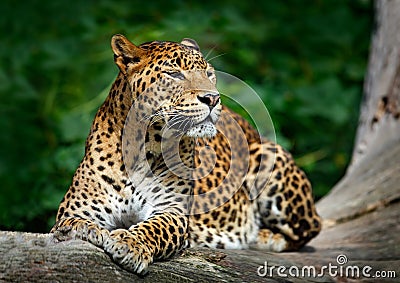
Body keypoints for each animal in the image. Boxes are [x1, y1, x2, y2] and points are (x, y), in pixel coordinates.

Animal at [50, 33, 322, 276]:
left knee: (310, 228)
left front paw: (129, 244)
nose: (212, 98)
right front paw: (89, 231)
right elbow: (72, 224)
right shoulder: (76, 209)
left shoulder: (173, 210)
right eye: (174, 74)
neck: (142, 146)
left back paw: (261, 235)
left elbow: (154, 228)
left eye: (209, 73)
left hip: (269, 156)